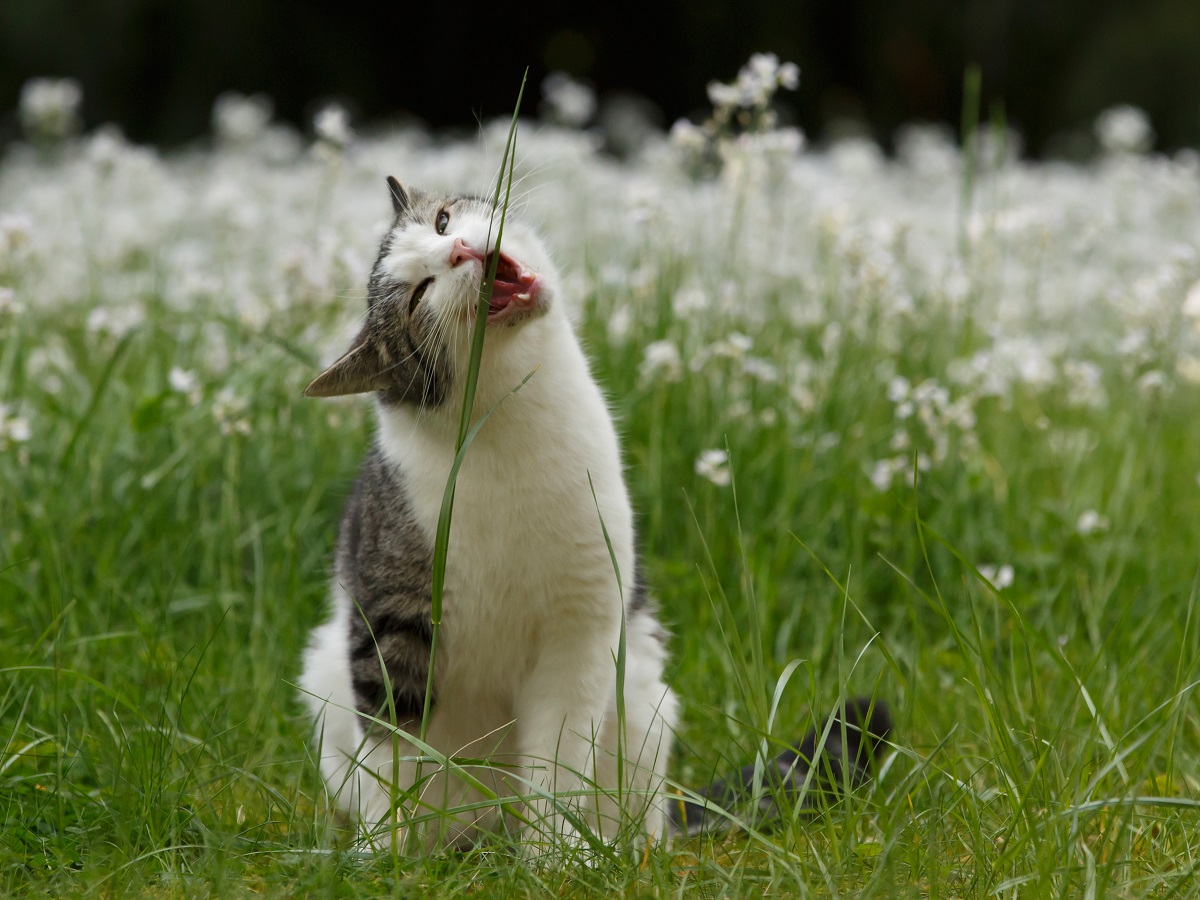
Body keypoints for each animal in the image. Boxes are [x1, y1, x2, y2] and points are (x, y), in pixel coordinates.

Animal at [295, 174, 888, 854]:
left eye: (443, 222)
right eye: (419, 295)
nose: (460, 252)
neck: (511, 423)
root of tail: (483, 836)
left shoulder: (580, 629)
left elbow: (558, 759)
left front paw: (559, 857)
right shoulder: (388, 625)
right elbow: (392, 753)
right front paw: (386, 855)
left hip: (645, 703)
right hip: (324, 672)